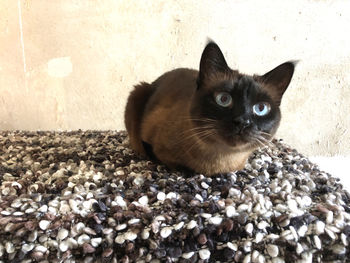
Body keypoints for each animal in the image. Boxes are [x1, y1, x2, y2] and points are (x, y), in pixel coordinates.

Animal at [124, 41, 294, 175]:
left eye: (260, 108)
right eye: (224, 99)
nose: (242, 121)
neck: (219, 163)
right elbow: (175, 164)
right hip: (138, 92)